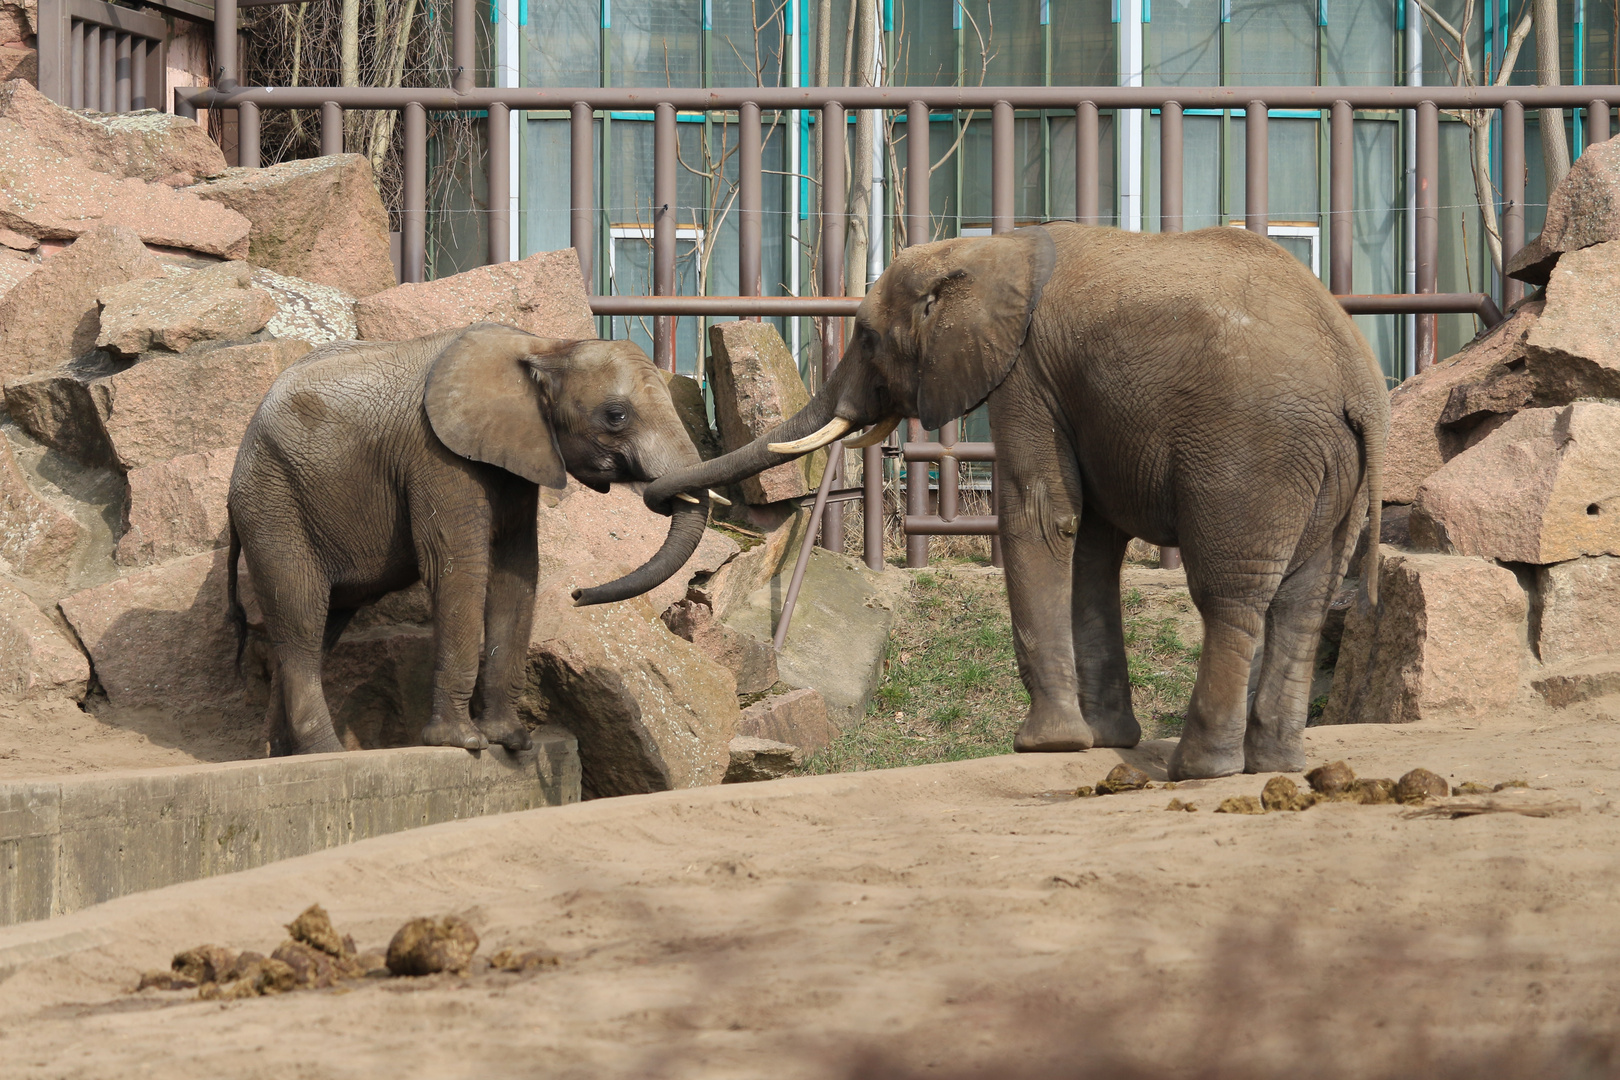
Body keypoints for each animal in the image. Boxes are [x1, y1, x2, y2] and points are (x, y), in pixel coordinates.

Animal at [228, 325, 709, 757]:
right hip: (273, 505)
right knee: (302, 621)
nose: (577, 594)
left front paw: (511, 741)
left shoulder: (518, 455)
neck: (545, 345)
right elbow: (459, 568)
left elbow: (516, 571)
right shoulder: (436, 455)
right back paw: (328, 755)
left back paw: (279, 756)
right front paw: (462, 743)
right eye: (616, 415)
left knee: (320, 627)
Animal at [638, 223, 1386, 780]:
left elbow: (1043, 517)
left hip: (1250, 454)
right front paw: (1101, 738)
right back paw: (1276, 765)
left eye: (871, 338)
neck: (991, 249)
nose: (651, 493)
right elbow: (1091, 543)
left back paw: (1202, 768)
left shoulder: (1026, 373)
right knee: (1305, 598)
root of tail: (1358, 382)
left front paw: (1043, 746)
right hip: (1327, 471)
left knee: (1231, 596)